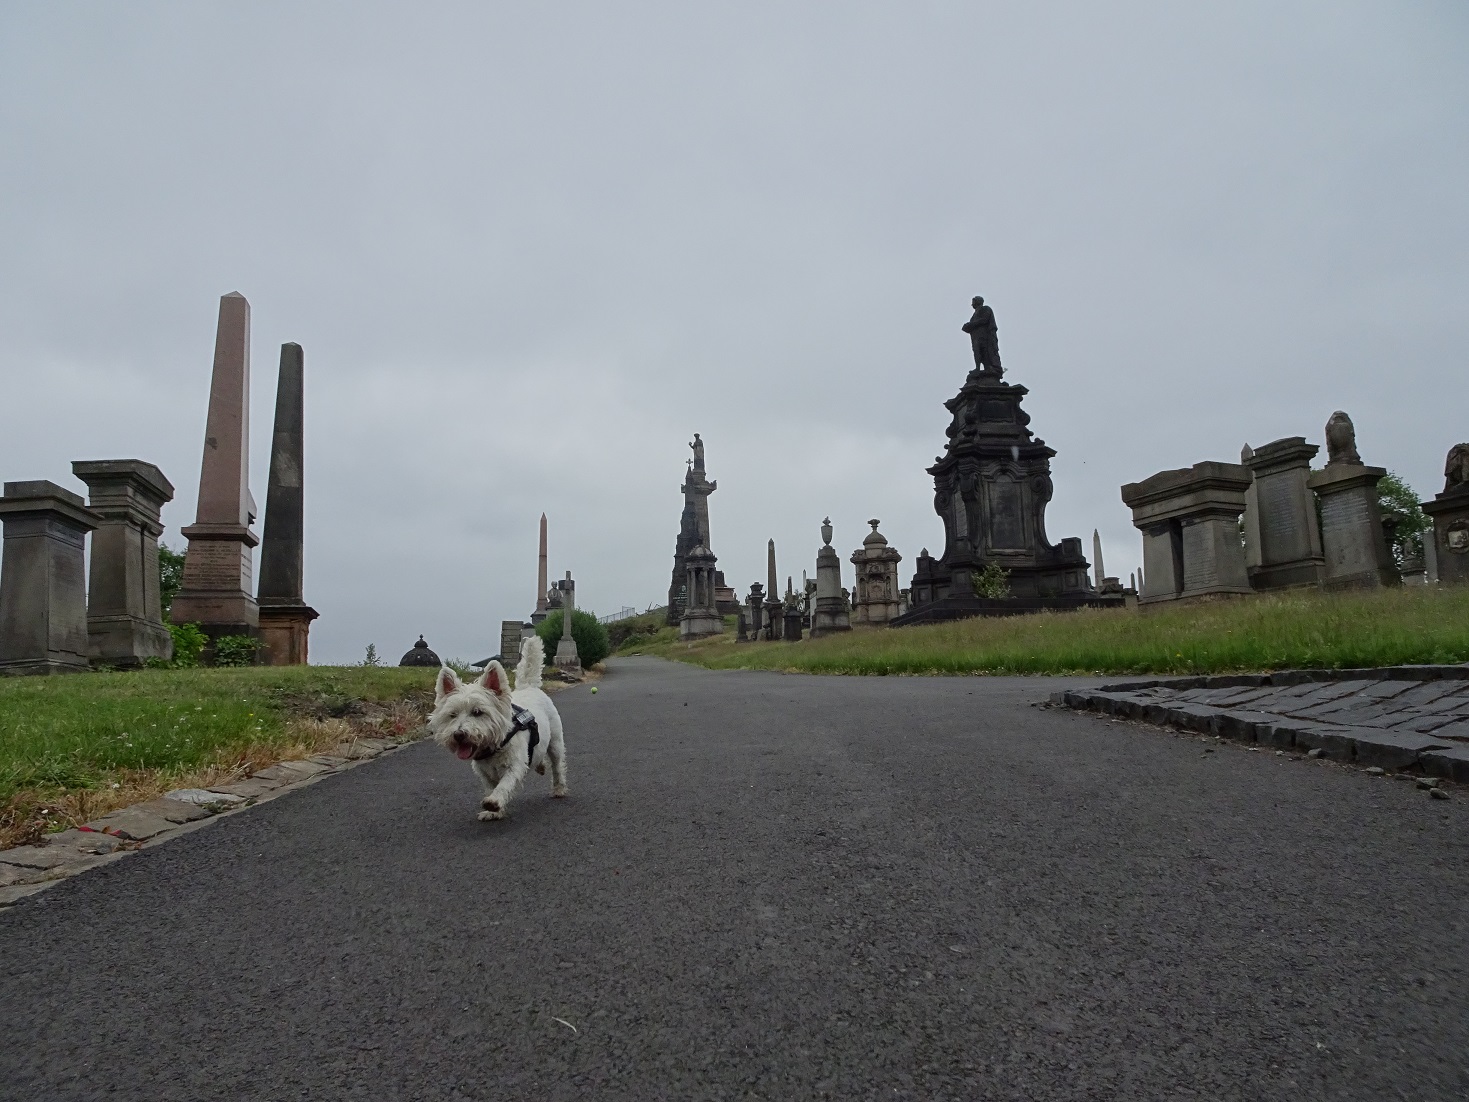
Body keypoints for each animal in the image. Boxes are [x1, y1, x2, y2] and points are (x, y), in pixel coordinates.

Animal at [428, 634, 569, 822]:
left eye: (477, 712)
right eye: (452, 715)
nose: (458, 734)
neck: (493, 747)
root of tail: (529, 687)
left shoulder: (515, 765)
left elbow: (504, 784)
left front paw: (494, 802)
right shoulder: (483, 772)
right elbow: (490, 786)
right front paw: (492, 812)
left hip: (555, 742)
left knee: (557, 765)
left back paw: (559, 789)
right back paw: (540, 766)